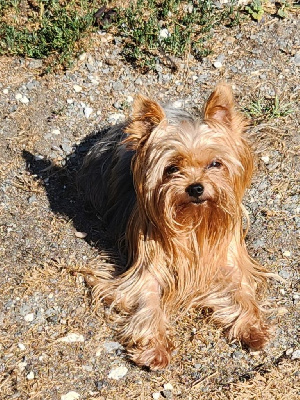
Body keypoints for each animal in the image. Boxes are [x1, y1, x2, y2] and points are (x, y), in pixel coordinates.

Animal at [78, 83, 270, 368]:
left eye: (215, 163)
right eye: (171, 168)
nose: (196, 187)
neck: (194, 222)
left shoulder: (229, 258)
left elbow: (242, 290)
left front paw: (252, 328)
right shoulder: (147, 267)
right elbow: (147, 299)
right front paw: (155, 348)